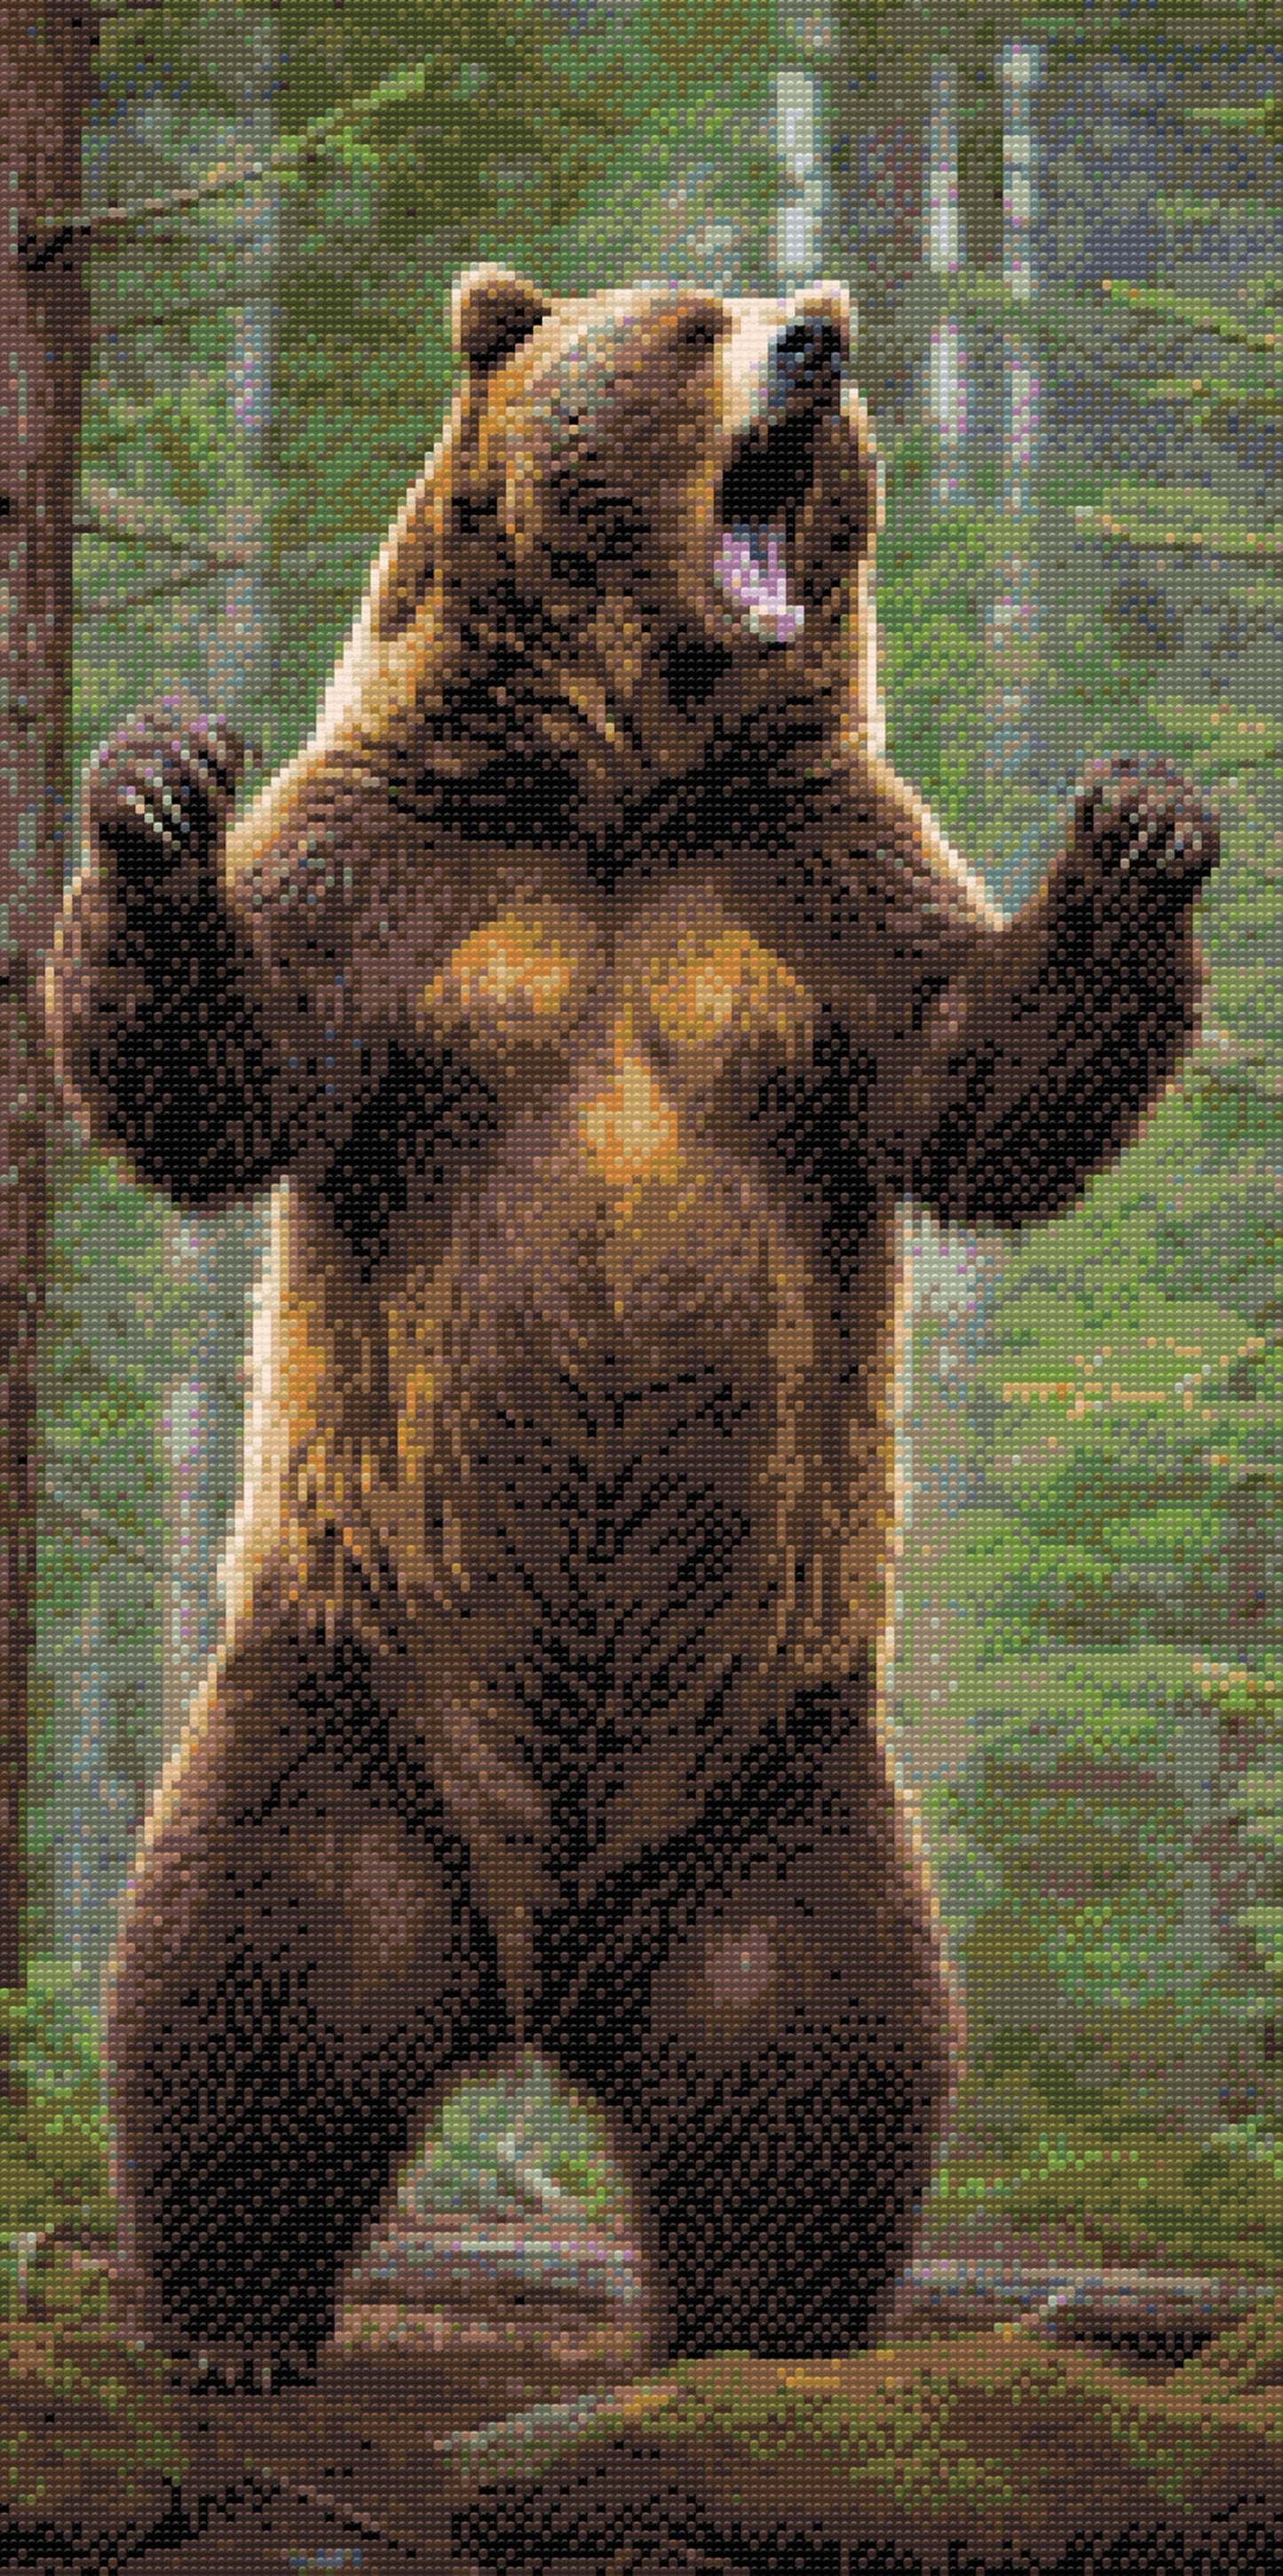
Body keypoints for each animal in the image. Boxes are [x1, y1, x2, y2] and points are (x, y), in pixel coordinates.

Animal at [47, 265, 1218, 2389]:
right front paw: (159, 792)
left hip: (778, 1784)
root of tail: (536, 1968)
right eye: (690, 322)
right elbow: (228, 1064)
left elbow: (977, 1080)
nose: (821, 343)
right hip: (345, 1697)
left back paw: (767, 2337)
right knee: (248, 1977)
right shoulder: (407, 865)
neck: (616, 786)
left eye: (804, 301)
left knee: (814, 2058)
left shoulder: (807, 885)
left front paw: (1138, 822)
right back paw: (234, 2314)